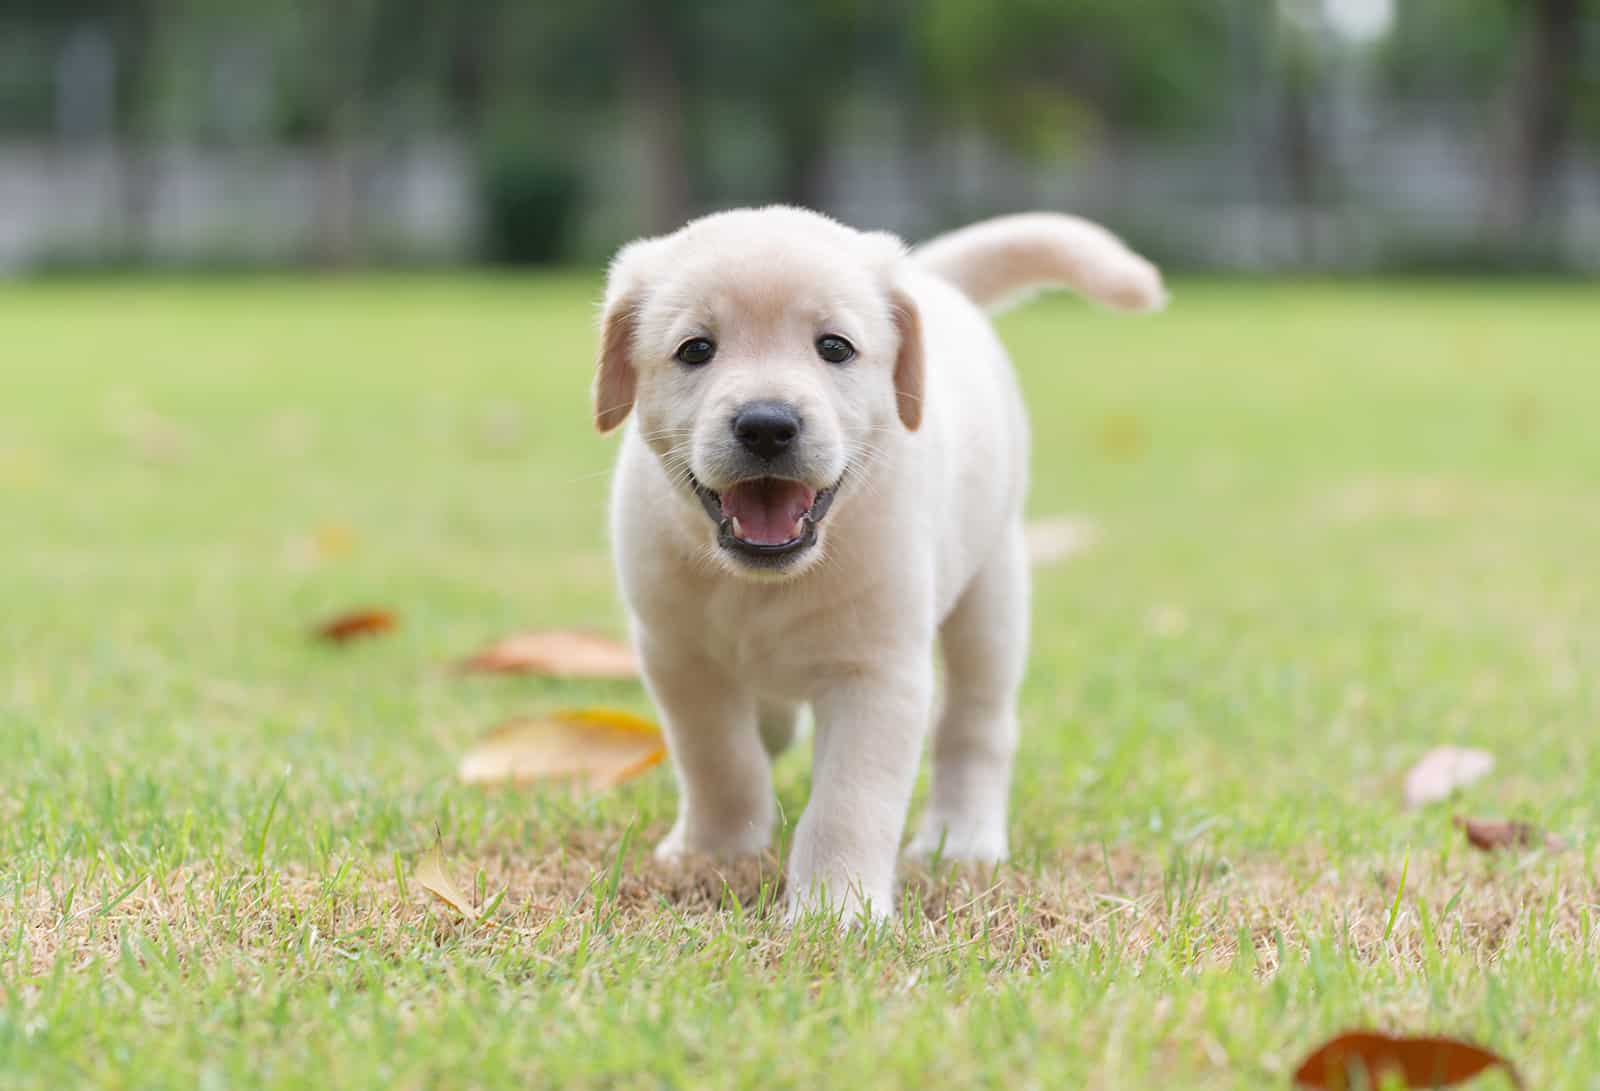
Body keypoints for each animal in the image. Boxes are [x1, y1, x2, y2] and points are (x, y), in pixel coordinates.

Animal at [595, 206, 1158, 915]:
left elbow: (849, 802)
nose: (766, 424)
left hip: (992, 590)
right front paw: (717, 849)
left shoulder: (876, 673)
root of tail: (931, 278)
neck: (767, 583)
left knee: (975, 725)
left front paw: (837, 910)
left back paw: (962, 835)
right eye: (696, 349)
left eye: (835, 347)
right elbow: (718, 758)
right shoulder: (679, 656)